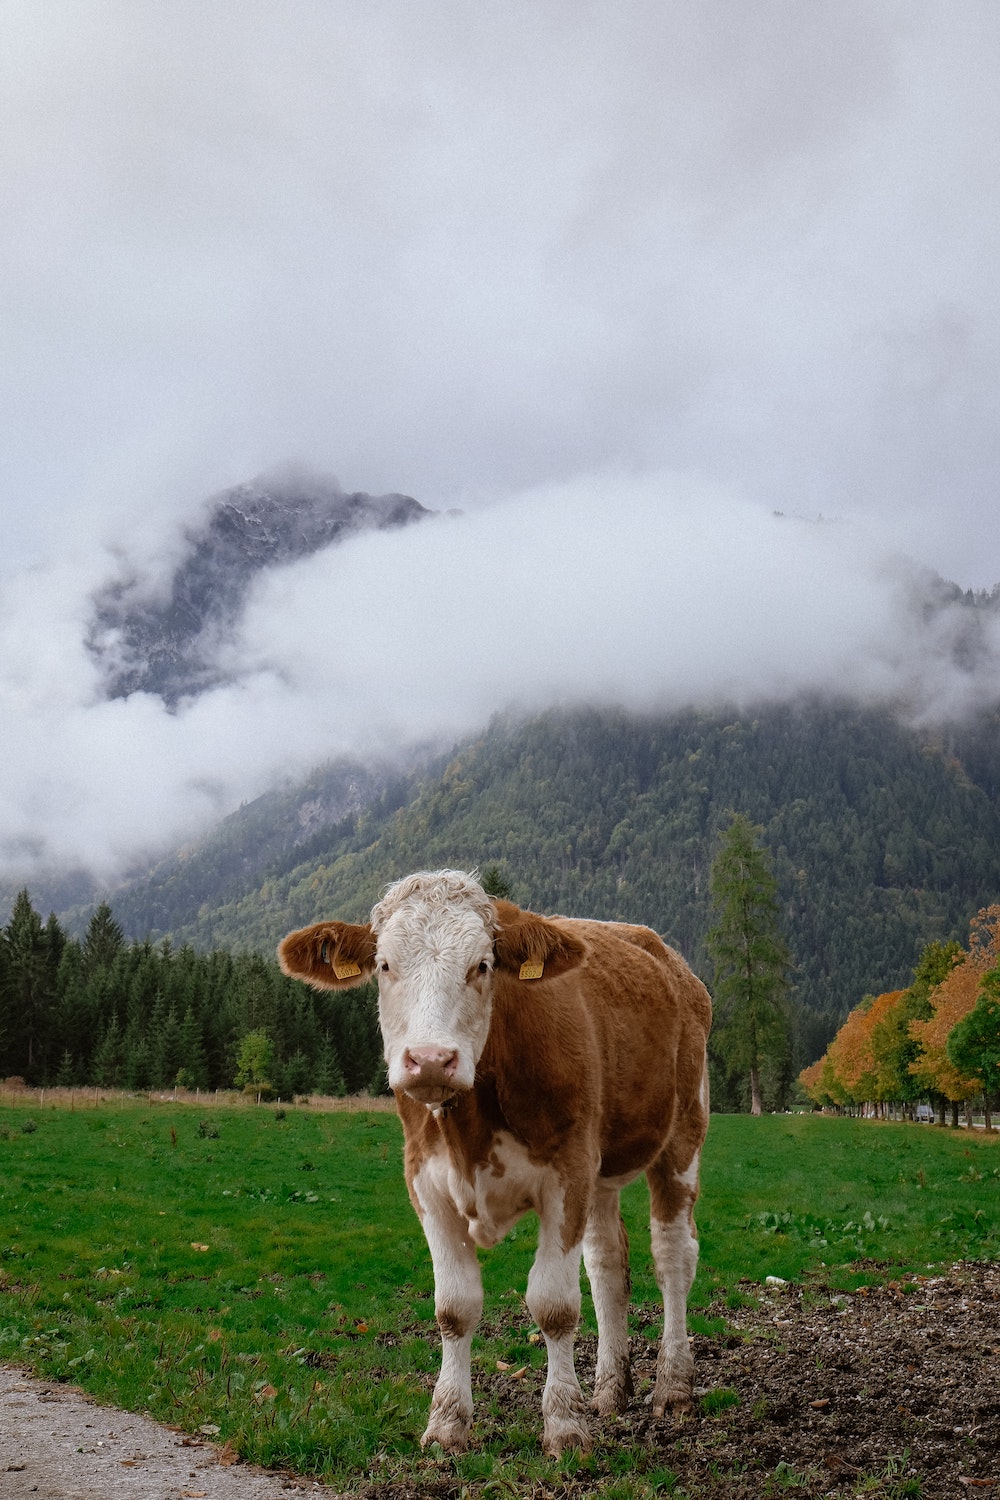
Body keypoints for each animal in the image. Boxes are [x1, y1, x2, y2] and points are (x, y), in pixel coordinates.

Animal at [280, 870, 710, 1452]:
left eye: (482, 965)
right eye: (385, 965)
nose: (430, 1060)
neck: (471, 1129)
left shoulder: (568, 1173)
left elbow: (554, 1305)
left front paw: (564, 1426)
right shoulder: (426, 1182)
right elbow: (454, 1307)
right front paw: (446, 1424)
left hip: (683, 1132)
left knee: (673, 1257)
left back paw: (673, 1388)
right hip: (601, 1171)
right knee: (606, 1265)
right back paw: (607, 1393)